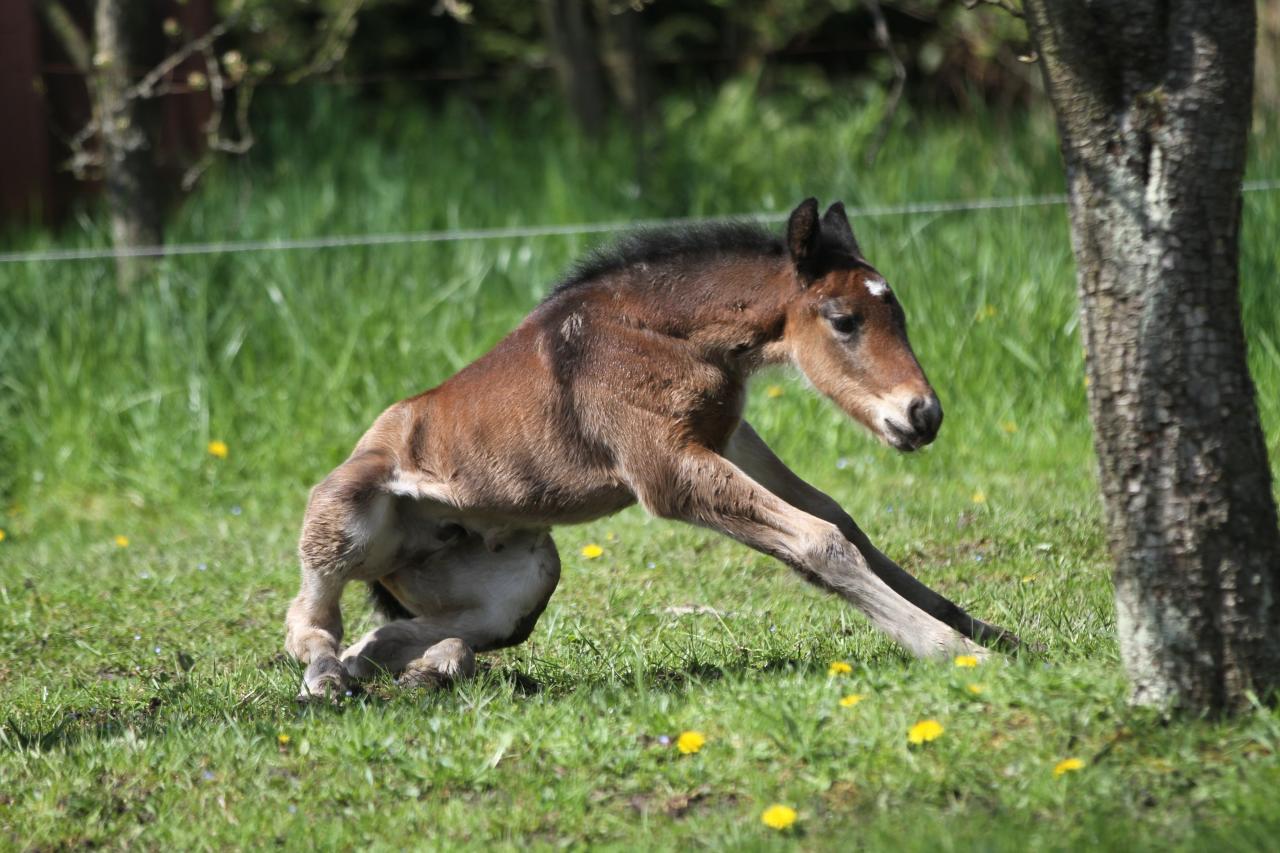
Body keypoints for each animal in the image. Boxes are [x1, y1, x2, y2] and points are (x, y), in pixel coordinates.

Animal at [282, 197, 1018, 696]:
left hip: (526, 574)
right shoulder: (668, 470)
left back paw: (425, 670)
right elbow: (820, 542)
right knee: (308, 621)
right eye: (843, 320)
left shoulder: (728, 436)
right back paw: (327, 680)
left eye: (898, 314)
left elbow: (842, 520)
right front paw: (956, 650)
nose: (923, 415)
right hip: (345, 511)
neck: (665, 334)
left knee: (398, 636)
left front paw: (989, 630)